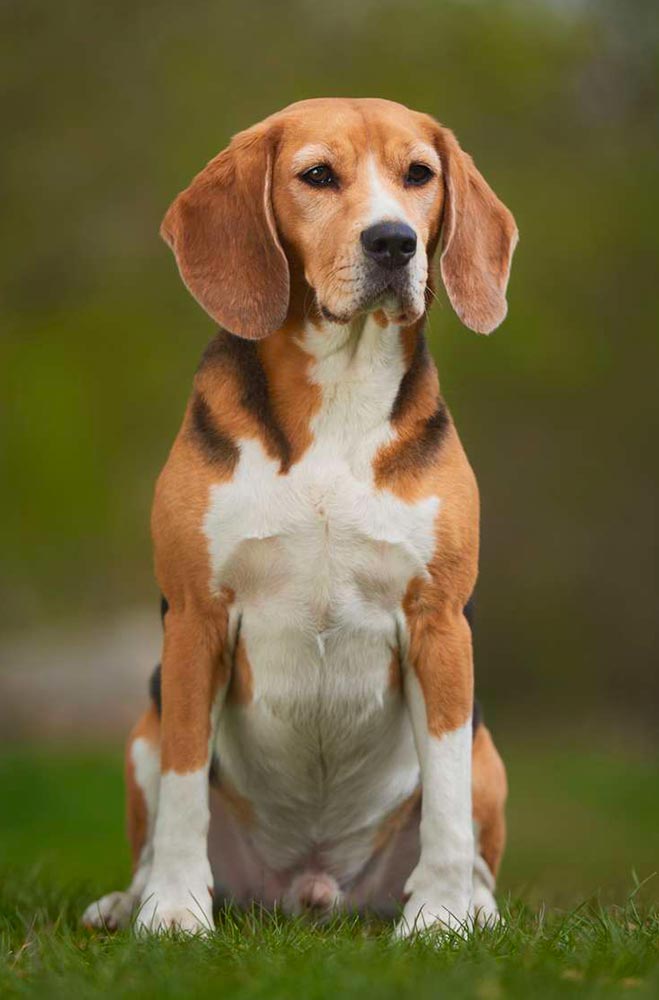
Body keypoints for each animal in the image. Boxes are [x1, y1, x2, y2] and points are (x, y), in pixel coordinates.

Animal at [82, 97, 516, 932]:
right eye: (317, 175)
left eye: (419, 175)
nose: (393, 241)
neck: (339, 389)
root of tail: (309, 891)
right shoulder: (194, 621)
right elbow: (185, 787)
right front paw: (174, 913)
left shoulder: (440, 624)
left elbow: (445, 804)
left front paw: (438, 921)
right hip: (142, 726)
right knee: (155, 816)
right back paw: (131, 900)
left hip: (488, 755)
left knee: (471, 831)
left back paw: (472, 907)